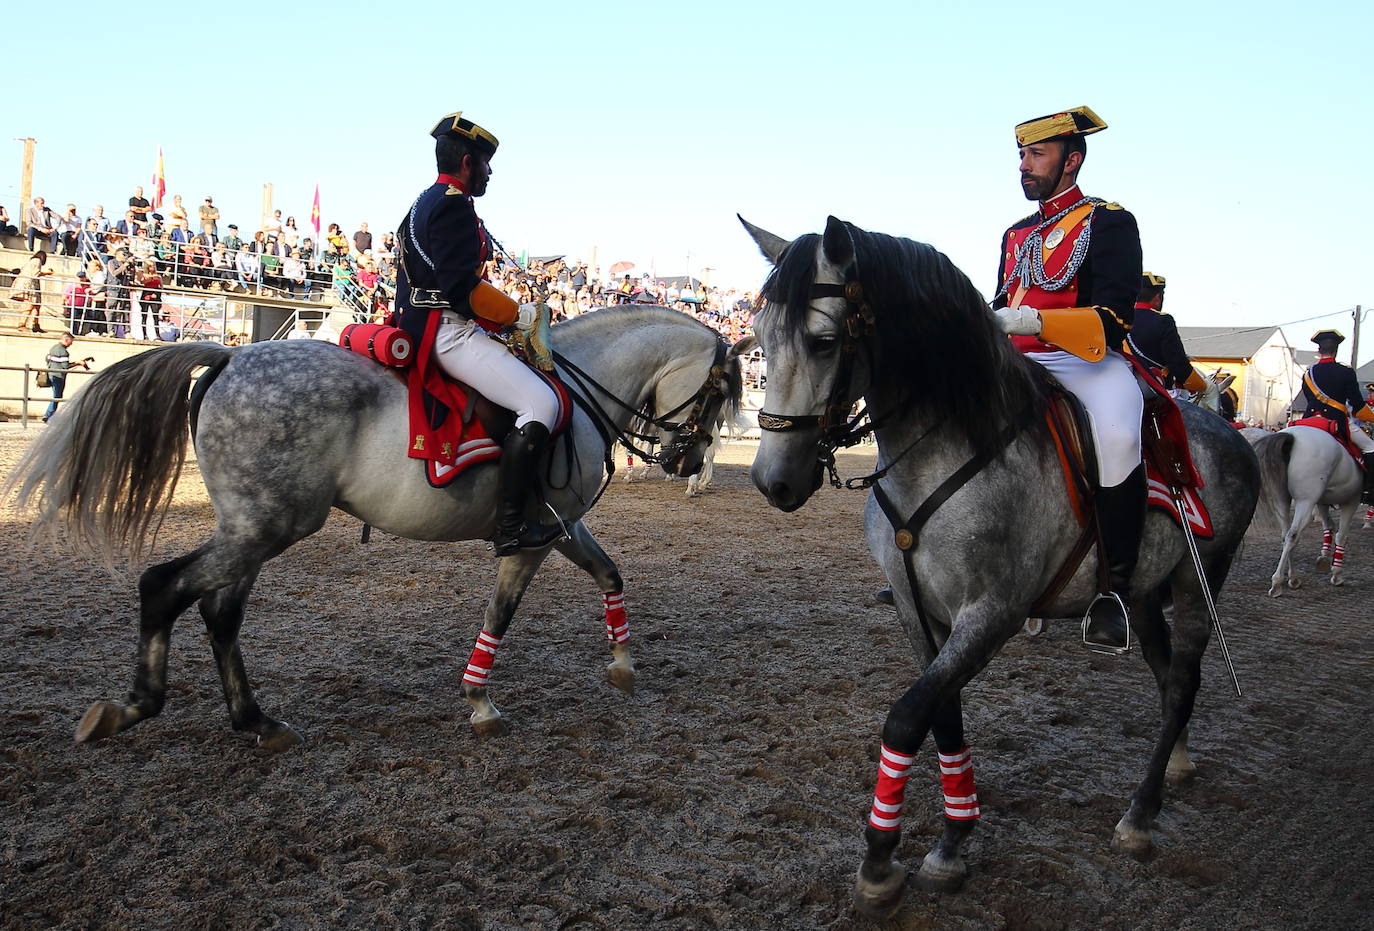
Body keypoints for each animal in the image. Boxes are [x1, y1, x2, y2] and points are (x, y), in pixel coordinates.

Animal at [8, 306, 741, 752]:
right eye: (716, 394)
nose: (686, 461)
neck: (575, 396)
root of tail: (229, 357)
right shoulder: (535, 536)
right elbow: (501, 613)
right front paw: (480, 700)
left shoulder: (564, 527)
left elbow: (609, 573)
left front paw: (622, 663)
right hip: (267, 527)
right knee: (164, 587)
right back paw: (133, 706)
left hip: (252, 529)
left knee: (219, 611)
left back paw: (256, 720)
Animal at [741, 216, 1258, 917]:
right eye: (760, 338)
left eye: (823, 342)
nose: (774, 481)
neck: (944, 448)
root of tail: (1235, 437)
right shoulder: (919, 611)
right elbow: (943, 715)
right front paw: (953, 839)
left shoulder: (993, 613)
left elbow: (908, 716)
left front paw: (882, 859)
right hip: (1147, 593)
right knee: (1167, 675)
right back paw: (1173, 760)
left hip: (1203, 578)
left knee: (1181, 681)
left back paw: (1139, 816)